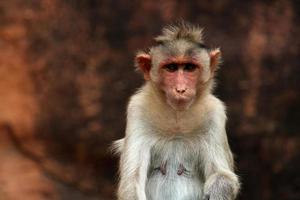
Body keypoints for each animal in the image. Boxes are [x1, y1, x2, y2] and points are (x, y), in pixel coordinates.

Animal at [112, 22, 241, 200]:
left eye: (189, 67)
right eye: (171, 68)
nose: (180, 89)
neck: (177, 118)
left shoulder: (215, 113)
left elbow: (223, 175)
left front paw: (217, 189)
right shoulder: (137, 109)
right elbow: (131, 182)